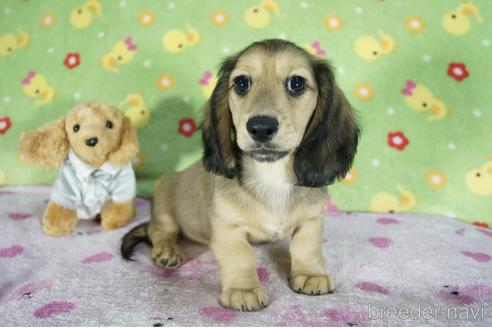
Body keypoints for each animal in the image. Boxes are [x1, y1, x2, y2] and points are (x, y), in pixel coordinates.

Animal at [121, 39, 360, 312]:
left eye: (297, 83)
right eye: (242, 83)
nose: (261, 127)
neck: (271, 175)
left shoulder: (312, 219)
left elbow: (306, 246)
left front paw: (310, 274)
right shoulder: (228, 228)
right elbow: (241, 256)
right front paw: (243, 289)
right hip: (164, 203)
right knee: (159, 231)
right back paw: (168, 251)